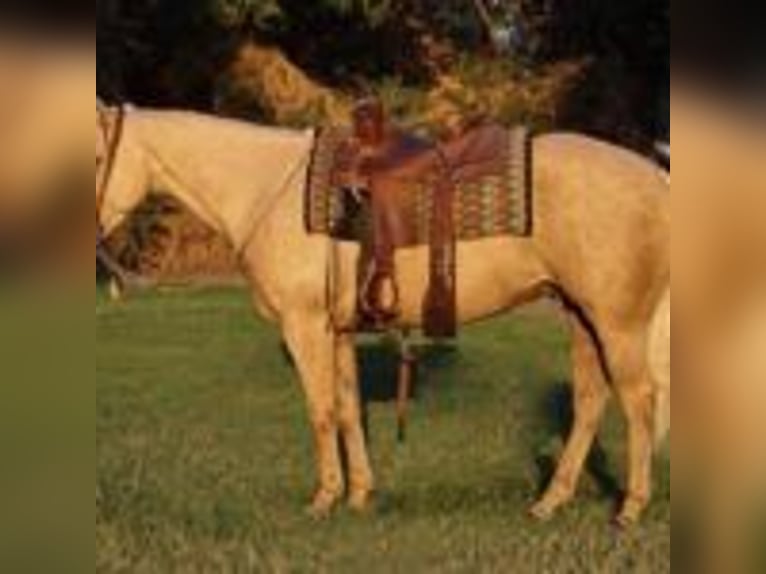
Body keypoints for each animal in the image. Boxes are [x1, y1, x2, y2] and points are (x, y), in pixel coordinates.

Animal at [96, 105, 669, 526]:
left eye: (97, 155)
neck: (269, 189)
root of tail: (654, 176)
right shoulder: (338, 331)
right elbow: (348, 409)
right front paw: (358, 496)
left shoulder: (304, 326)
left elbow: (321, 411)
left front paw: (324, 500)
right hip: (581, 316)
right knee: (591, 401)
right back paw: (551, 502)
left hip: (616, 322)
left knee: (639, 401)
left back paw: (630, 509)